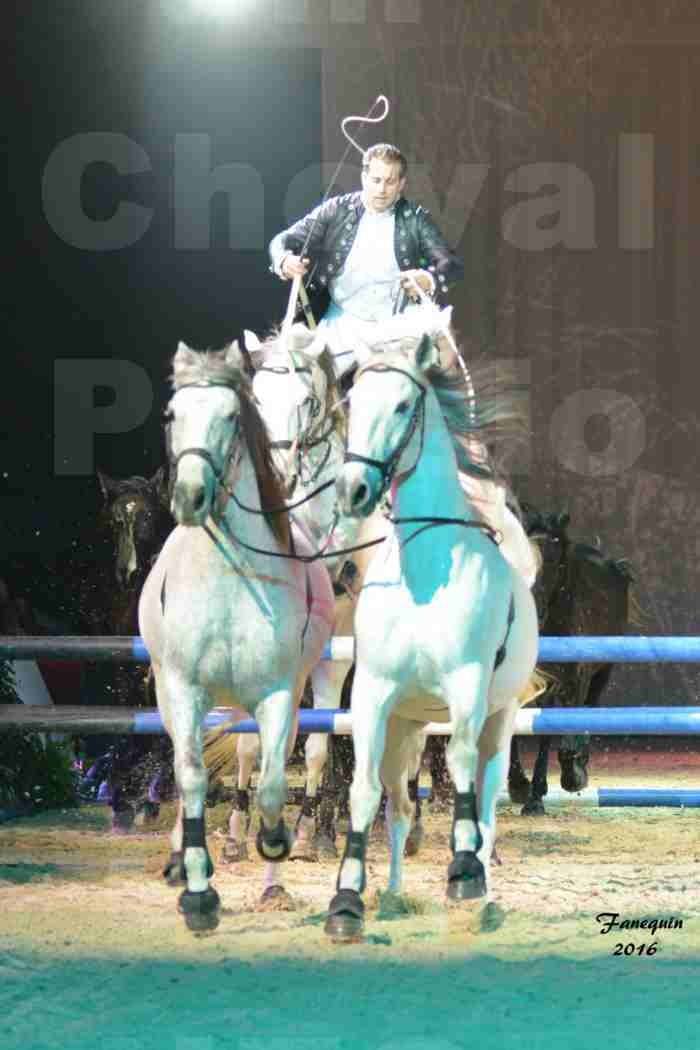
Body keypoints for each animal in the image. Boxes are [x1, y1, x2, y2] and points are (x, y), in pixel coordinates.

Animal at [139, 340, 333, 932]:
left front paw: (275, 840)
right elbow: (193, 778)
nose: (190, 496)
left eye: (231, 417)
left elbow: (271, 784)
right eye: (171, 414)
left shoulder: (277, 694)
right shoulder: (183, 690)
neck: (225, 577)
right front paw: (198, 894)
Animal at [325, 331, 541, 940]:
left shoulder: (466, 690)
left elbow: (463, 772)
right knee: (399, 806)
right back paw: (395, 895)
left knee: (486, 799)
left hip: (499, 720)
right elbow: (364, 793)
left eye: (403, 406)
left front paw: (462, 873)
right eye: (353, 403)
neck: (424, 575)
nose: (354, 489)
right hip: (407, 727)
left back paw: (482, 892)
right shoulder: (373, 696)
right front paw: (346, 902)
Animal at [510, 508, 642, 818]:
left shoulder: (573, 681)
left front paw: (552, 787)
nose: (534, 607)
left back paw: (576, 768)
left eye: (556, 561)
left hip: (602, 672)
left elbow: (554, 732)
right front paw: (519, 786)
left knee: (588, 708)